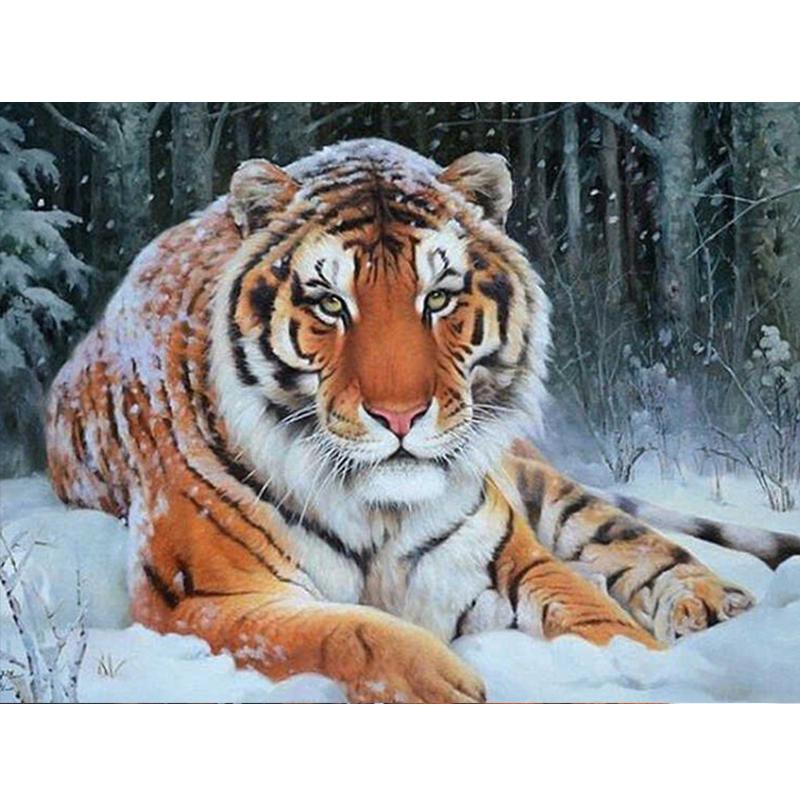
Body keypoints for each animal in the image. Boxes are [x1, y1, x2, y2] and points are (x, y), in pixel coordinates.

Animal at [45, 138, 798, 703]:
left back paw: (715, 608)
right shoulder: (203, 597)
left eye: (438, 297)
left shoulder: (503, 556)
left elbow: (596, 613)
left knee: (634, 541)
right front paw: (449, 685)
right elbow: (344, 632)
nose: (400, 415)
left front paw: (647, 670)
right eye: (330, 303)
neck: (377, 512)